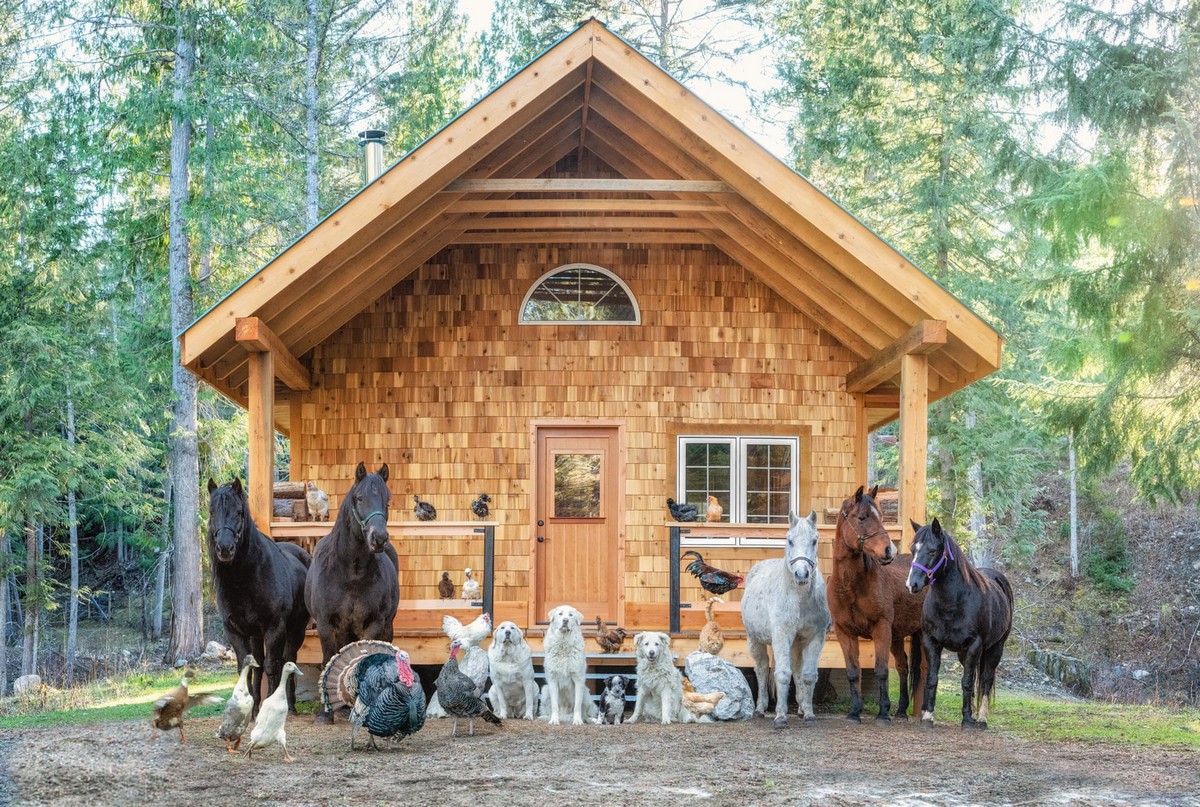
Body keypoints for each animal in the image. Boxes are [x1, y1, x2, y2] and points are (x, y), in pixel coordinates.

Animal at [205, 480, 309, 710]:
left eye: (239, 512)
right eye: (211, 511)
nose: (224, 548)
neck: (245, 581)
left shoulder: (274, 628)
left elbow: (272, 665)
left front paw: (269, 704)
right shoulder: (235, 631)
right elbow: (248, 667)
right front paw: (251, 709)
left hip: (296, 629)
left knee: (289, 659)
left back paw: (291, 704)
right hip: (256, 635)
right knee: (261, 664)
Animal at [302, 463, 400, 720]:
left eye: (387, 500)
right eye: (360, 498)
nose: (379, 538)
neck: (351, 571)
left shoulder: (373, 623)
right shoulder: (325, 624)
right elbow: (329, 660)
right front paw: (326, 712)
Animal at [744, 513, 830, 730]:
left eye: (814, 540)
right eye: (789, 540)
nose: (801, 574)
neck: (799, 599)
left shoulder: (814, 638)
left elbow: (807, 675)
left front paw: (809, 714)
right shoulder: (781, 637)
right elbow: (782, 674)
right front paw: (780, 716)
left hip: (796, 644)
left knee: (797, 670)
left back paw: (800, 708)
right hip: (754, 640)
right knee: (762, 669)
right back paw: (760, 709)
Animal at [825, 485, 926, 720]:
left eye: (880, 516)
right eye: (862, 517)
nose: (890, 551)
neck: (850, 587)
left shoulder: (881, 628)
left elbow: (881, 670)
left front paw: (883, 713)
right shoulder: (844, 631)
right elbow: (853, 671)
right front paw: (855, 712)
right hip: (897, 636)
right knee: (903, 666)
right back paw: (901, 710)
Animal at [907, 521, 1012, 730]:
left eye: (932, 551)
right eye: (913, 549)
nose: (912, 584)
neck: (952, 603)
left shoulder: (974, 646)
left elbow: (968, 683)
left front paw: (968, 721)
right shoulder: (931, 643)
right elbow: (933, 679)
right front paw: (928, 717)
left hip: (995, 648)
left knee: (986, 680)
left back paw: (981, 719)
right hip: (964, 654)